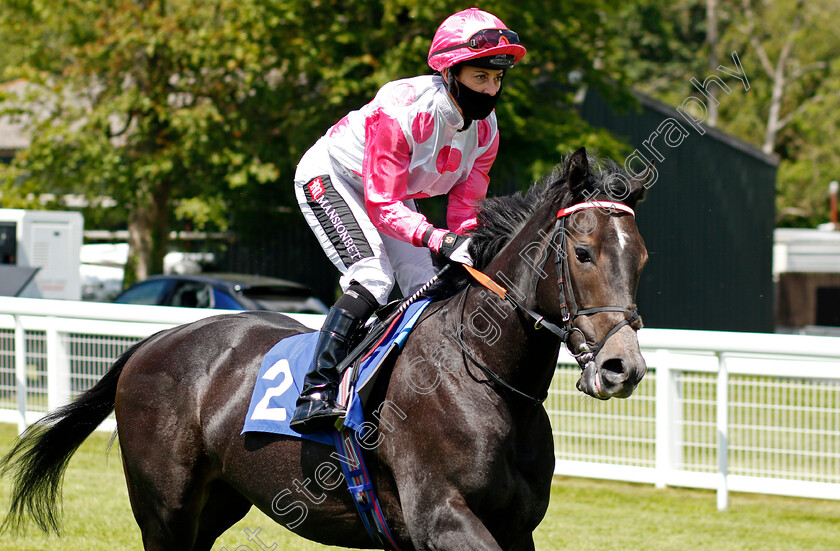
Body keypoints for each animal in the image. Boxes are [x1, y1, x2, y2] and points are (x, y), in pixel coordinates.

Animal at [0, 148, 648, 551]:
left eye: (640, 256)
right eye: (583, 252)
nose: (624, 368)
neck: (483, 374)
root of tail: (156, 339)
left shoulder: (515, 528)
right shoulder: (443, 517)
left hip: (218, 501)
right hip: (164, 510)